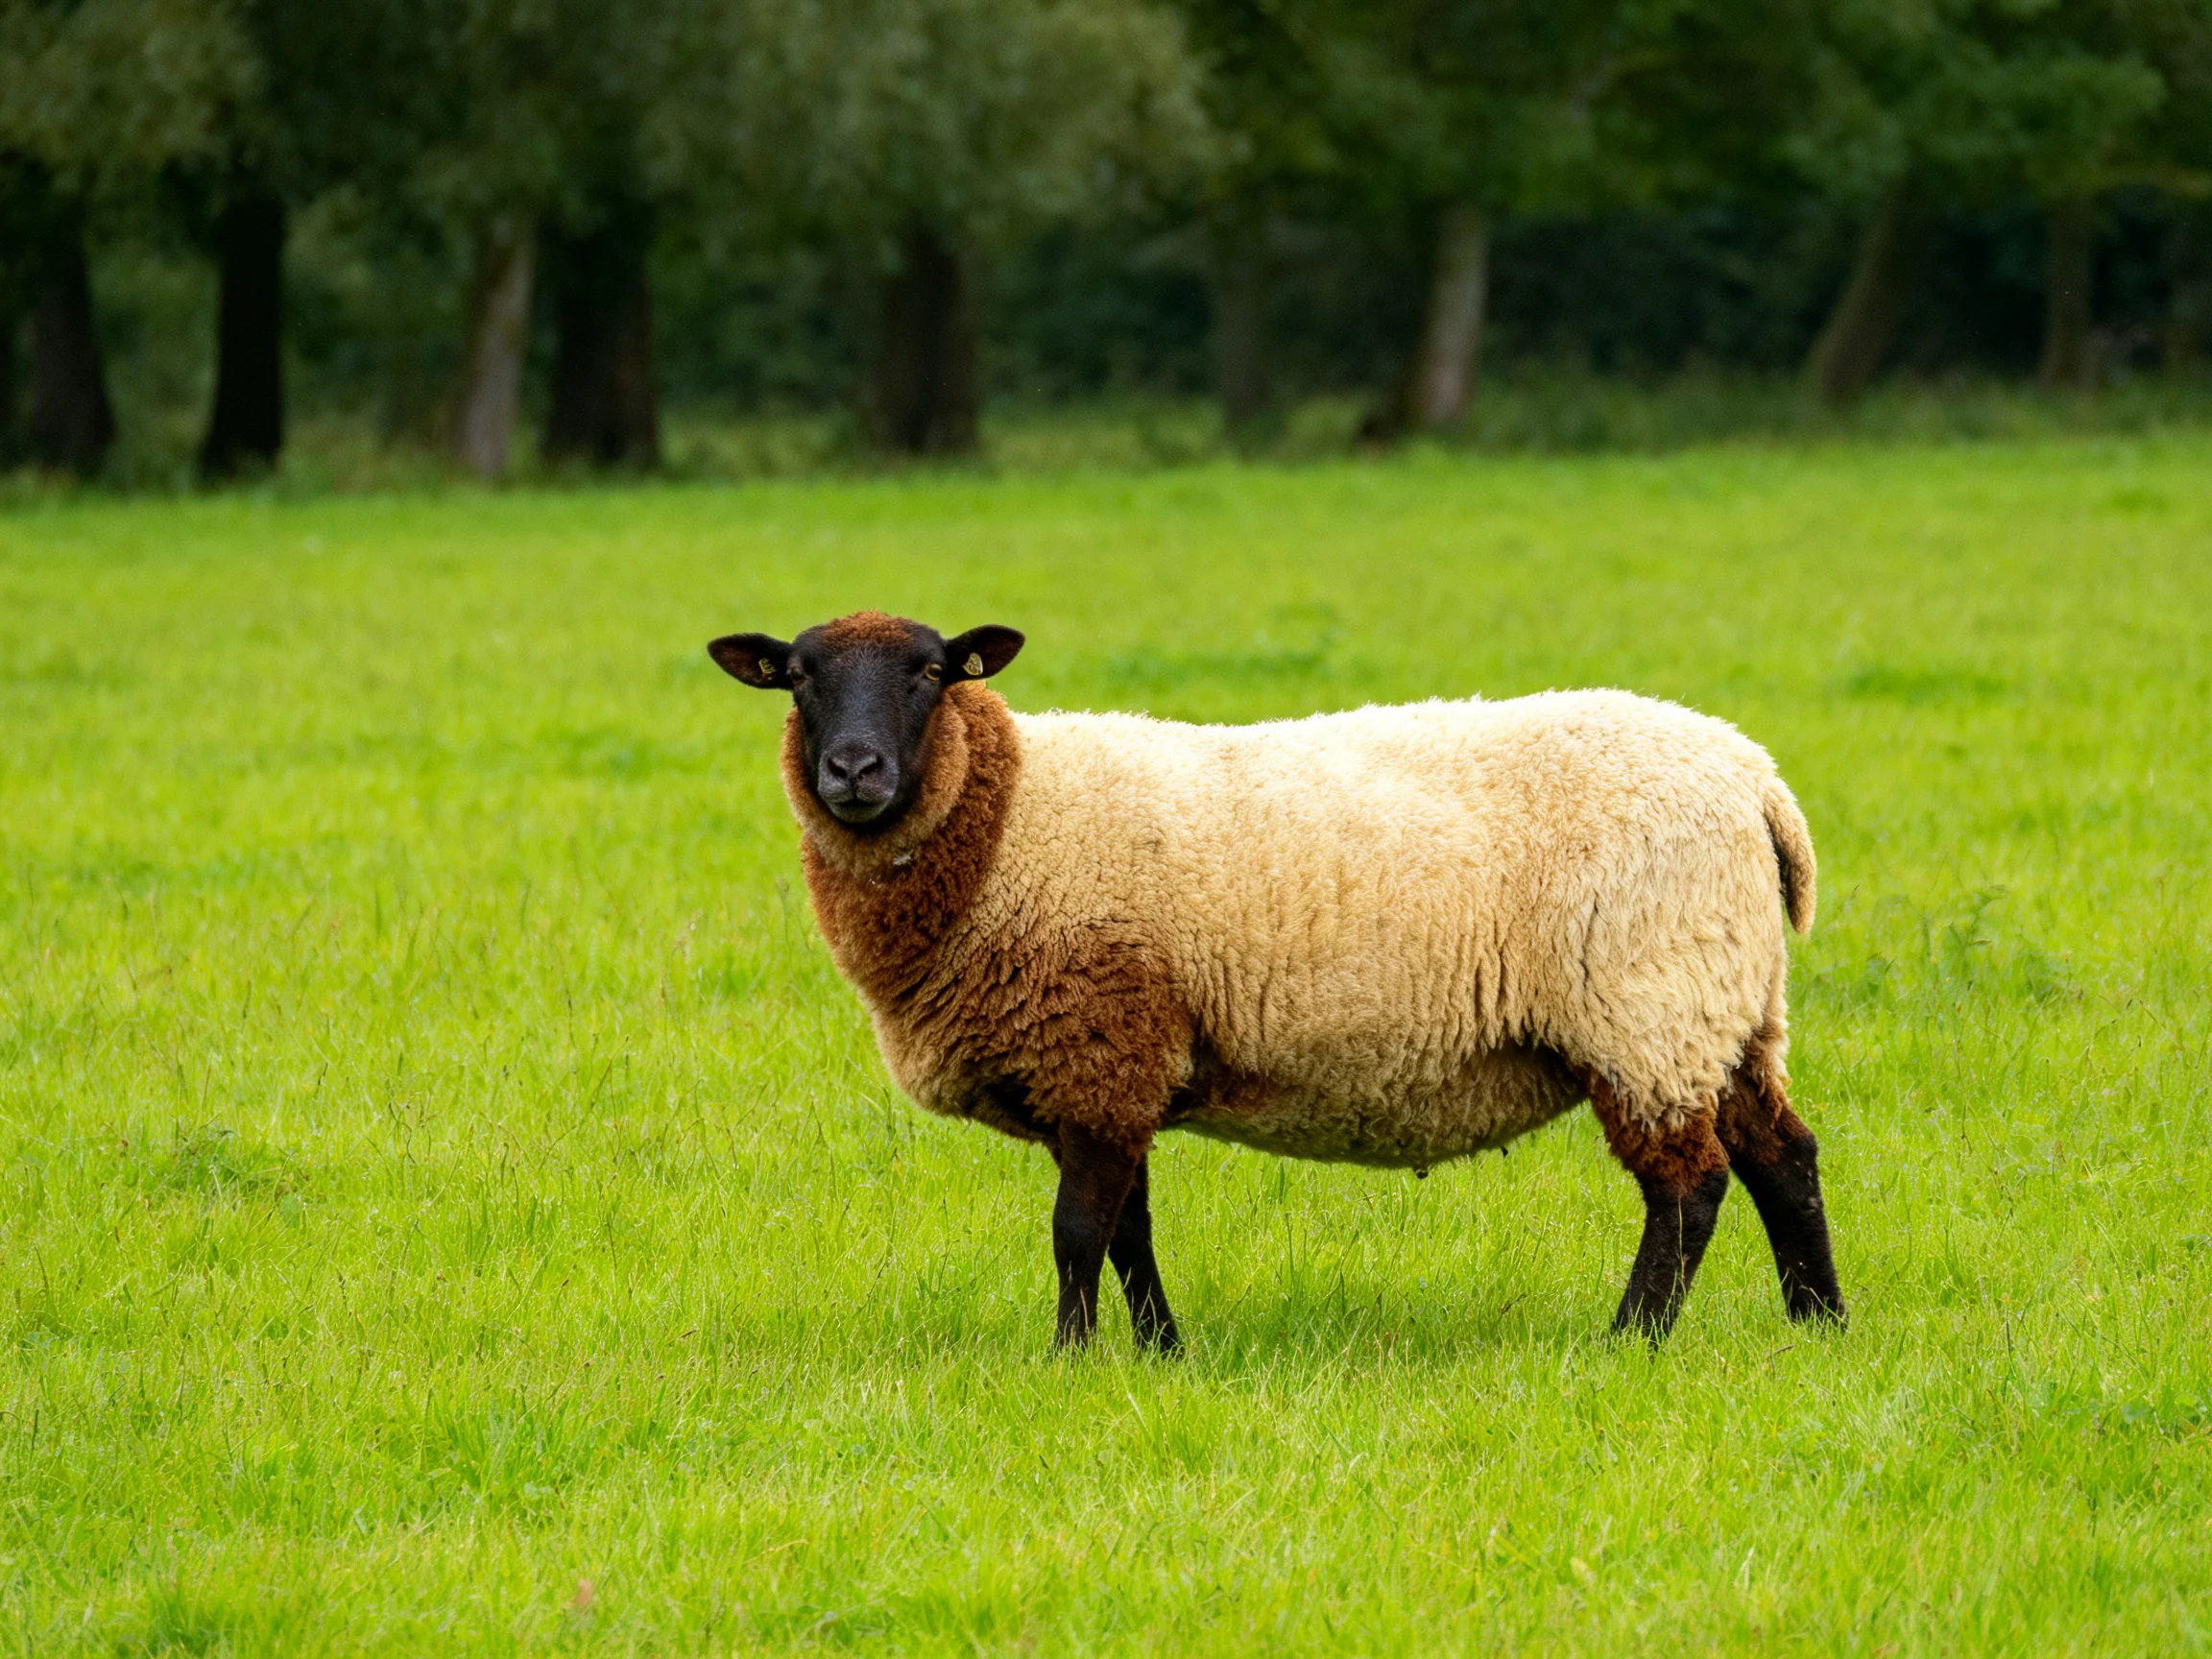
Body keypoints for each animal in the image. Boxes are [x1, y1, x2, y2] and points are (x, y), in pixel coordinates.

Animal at [708, 609, 1845, 1351]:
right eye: (799, 677)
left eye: (933, 674)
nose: (855, 772)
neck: (1008, 827)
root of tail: (1758, 782)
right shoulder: (1123, 1066)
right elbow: (1129, 1230)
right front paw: (1160, 1352)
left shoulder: (1099, 1047)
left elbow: (1078, 1232)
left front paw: (1071, 1359)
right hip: (1730, 1005)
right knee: (1782, 1155)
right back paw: (1818, 1324)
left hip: (1647, 1004)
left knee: (1689, 1188)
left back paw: (1631, 1340)